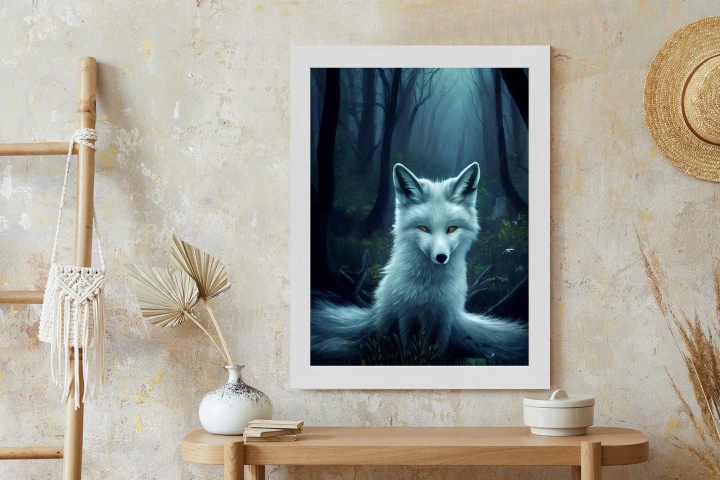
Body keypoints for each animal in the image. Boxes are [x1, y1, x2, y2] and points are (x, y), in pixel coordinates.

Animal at [312, 162, 528, 365]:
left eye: (452, 229)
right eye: (423, 228)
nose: (441, 257)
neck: (429, 288)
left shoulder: (444, 317)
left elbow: (438, 349)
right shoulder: (406, 314)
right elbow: (408, 347)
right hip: (385, 320)